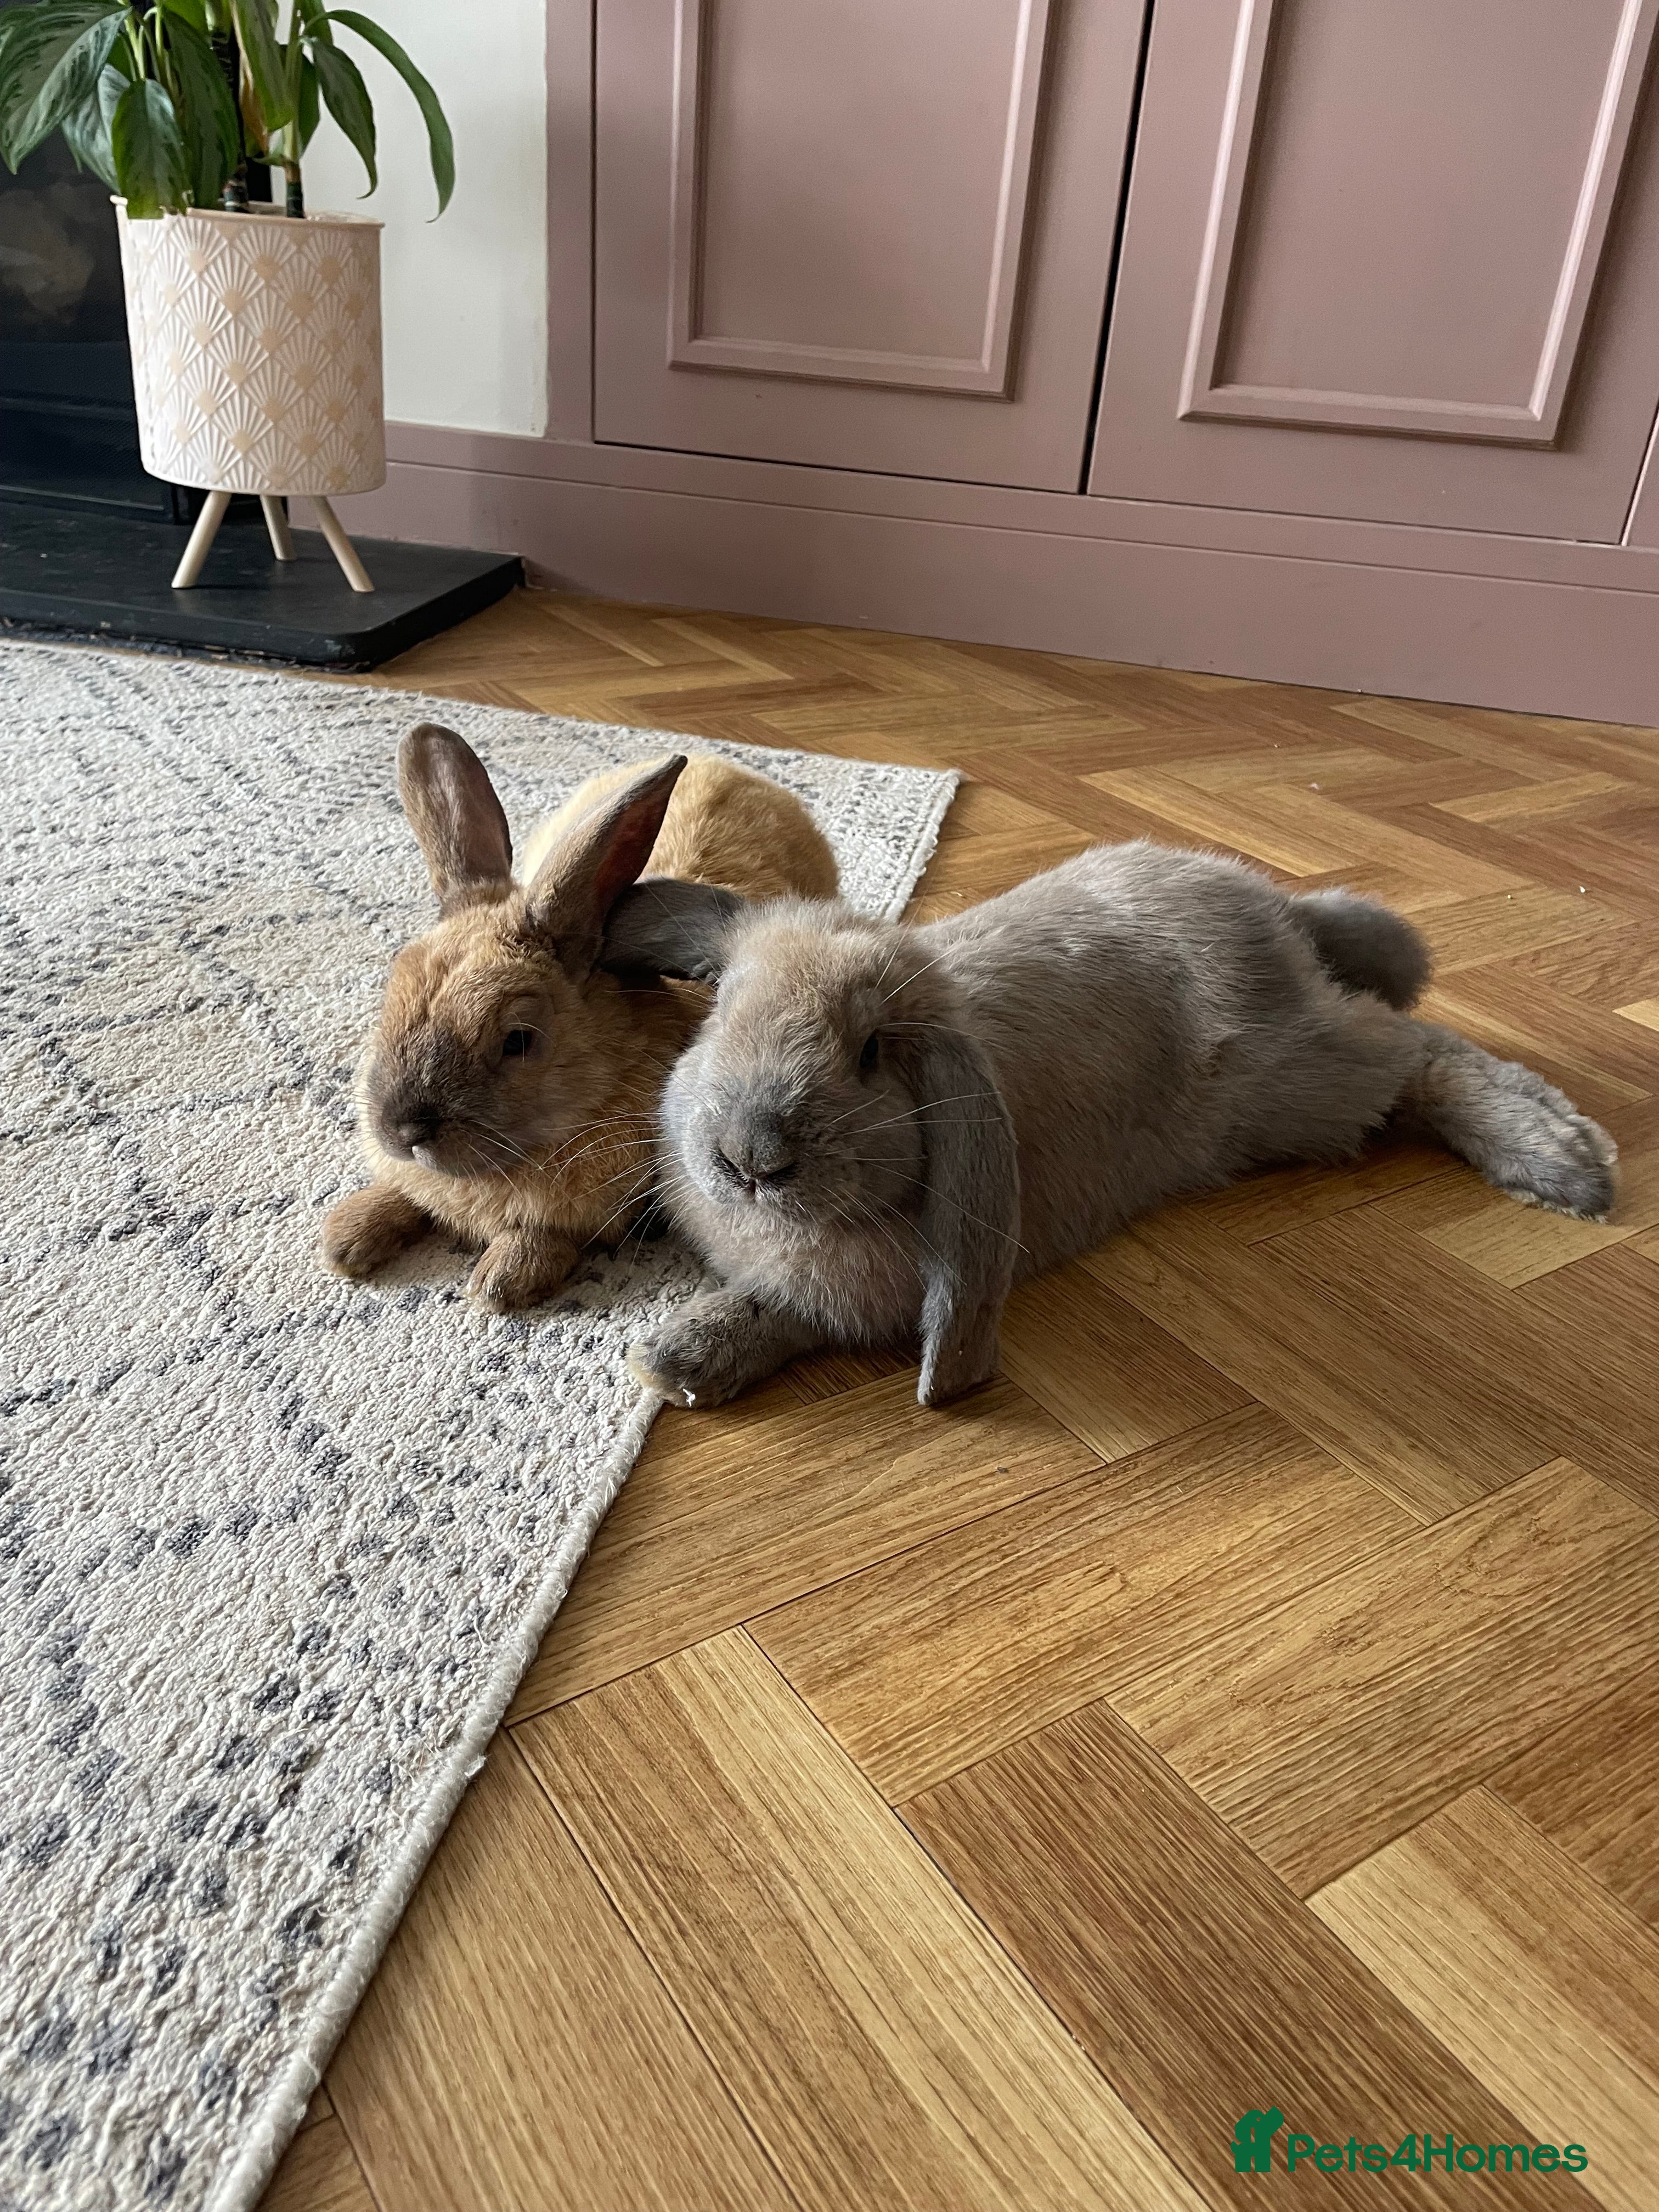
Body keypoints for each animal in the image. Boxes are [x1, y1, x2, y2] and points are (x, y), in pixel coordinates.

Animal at [320, 723, 838, 1311]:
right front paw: (347, 1238)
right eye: (391, 997)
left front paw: (500, 1282)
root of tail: (726, 765)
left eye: (518, 1040)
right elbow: (406, 1196)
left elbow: (546, 1237)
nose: (404, 1131)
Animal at [603, 839, 1618, 1409]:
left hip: (1295, 1080)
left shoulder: (874, 1290)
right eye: (719, 1011)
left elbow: (786, 1309)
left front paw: (670, 1358)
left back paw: (1564, 1159)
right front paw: (669, 1358)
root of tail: (1275, 913)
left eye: (870, 1053)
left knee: (1419, 1051)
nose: (747, 1157)